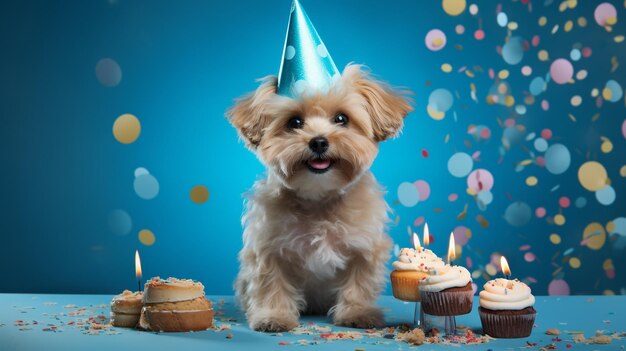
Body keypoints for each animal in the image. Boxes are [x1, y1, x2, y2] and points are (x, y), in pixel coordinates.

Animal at [227, 64, 412, 332]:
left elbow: (359, 284)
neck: (319, 198)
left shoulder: (365, 248)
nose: (318, 142)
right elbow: (271, 284)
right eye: (294, 122)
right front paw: (273, 316)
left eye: (342, 118)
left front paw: (357, 312)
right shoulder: (268, 250)